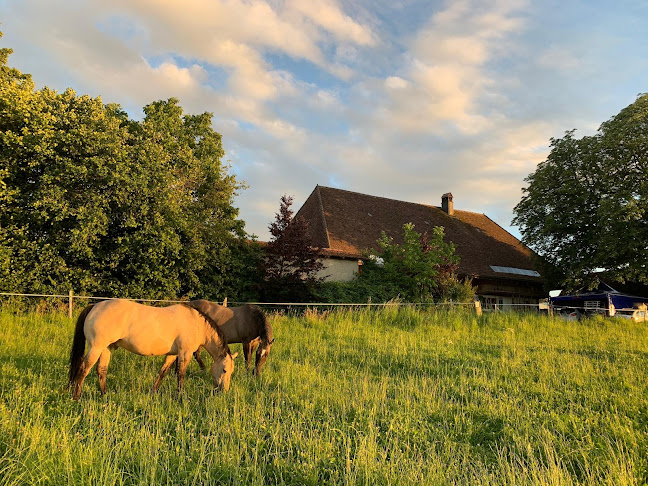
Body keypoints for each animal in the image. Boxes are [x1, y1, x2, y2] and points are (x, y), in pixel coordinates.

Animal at [67, 298, 238, 400]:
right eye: (224, 370)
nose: (224, 391)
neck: (197, 324)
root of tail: (95, 306)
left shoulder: (172, 354)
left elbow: (163, 372)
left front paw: (153, 391)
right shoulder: (185, 352)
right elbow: (181, 374)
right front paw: (180, 396)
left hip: (106, 348)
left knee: (101, 370)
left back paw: (105, 396)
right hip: (96, 347)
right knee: (83, 369)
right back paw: (76, 397)